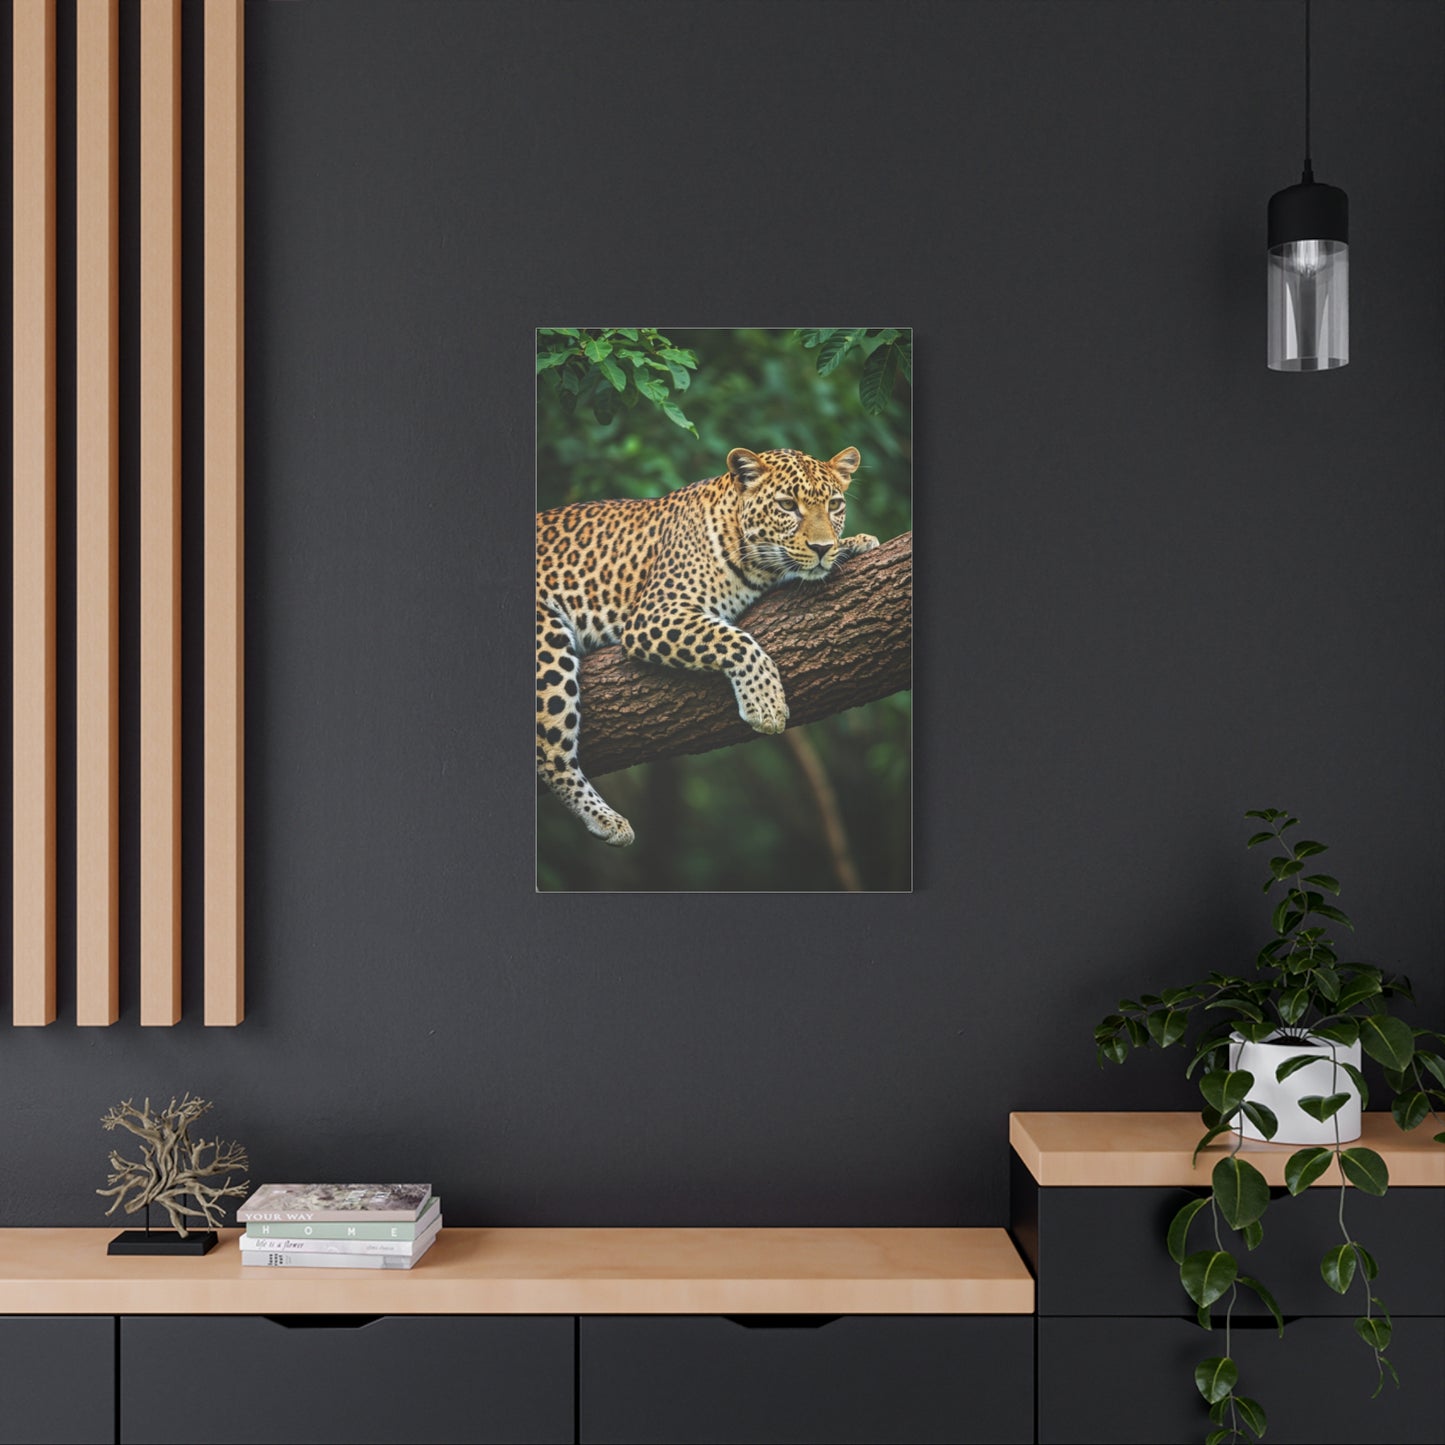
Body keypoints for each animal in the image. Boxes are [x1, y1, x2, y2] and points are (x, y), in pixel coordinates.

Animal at [537, 445, 879, 846]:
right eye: (787, 505)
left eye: (835, 505)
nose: (823, 548)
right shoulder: (655, 613)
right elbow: (738, 640)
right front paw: (766, 705)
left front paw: (854, 543)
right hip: (547, 646)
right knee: (551, 754)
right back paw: (606, 819)